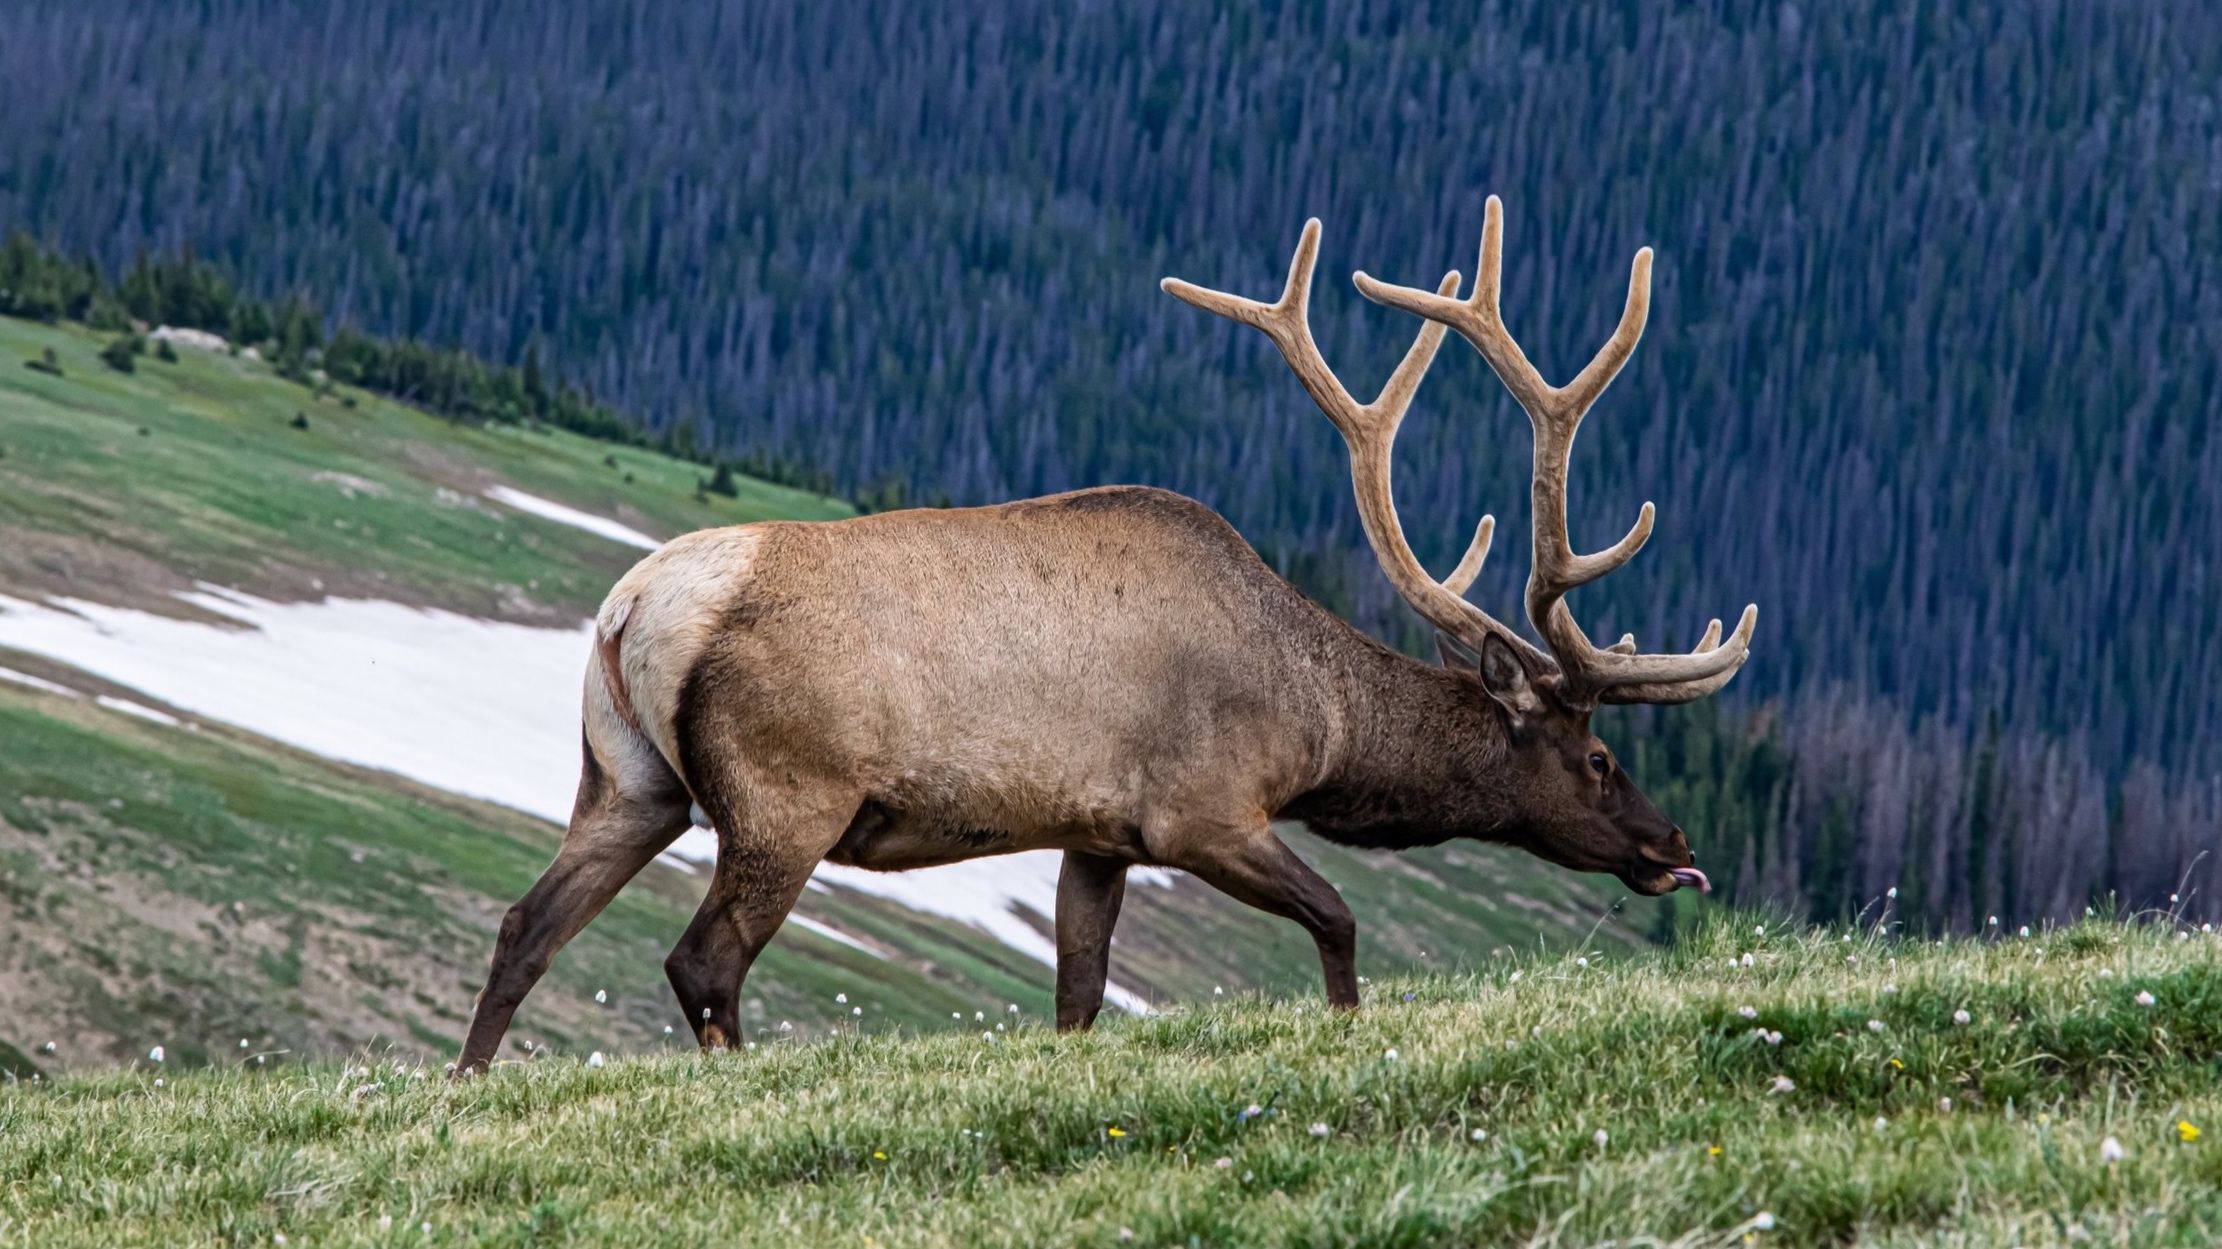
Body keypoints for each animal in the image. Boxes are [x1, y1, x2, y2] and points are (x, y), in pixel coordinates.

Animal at [455, 196, 1750, 1071]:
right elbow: (1336, 918)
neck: (1318, 721)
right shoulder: (1202, 808)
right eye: (1597, 755)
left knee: (525, 925)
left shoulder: (1097, 832)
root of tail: (632, 607)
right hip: (785, 791)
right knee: (701, 960)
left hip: (625, 777)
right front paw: (1347, 1028)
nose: (1672, 841)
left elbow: (1078, 991)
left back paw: (468, 1083)